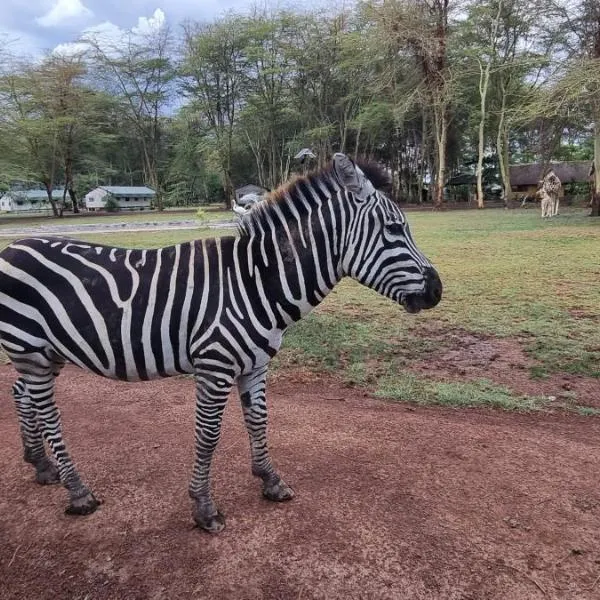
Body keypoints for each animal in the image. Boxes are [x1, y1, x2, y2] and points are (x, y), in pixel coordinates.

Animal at [0, 155, 440, 536]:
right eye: (395, 229)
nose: (437, 291)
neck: (255, 282)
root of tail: (12, 247)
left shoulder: (256, 364)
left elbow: (259, 420)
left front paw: (270, 480)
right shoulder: (215, 366)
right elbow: (209, 433)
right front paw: (203, 507)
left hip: (46, 352)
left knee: (20, 393)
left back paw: (41, 466)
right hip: (32, 351)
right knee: (47, 411)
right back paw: (78, 492)